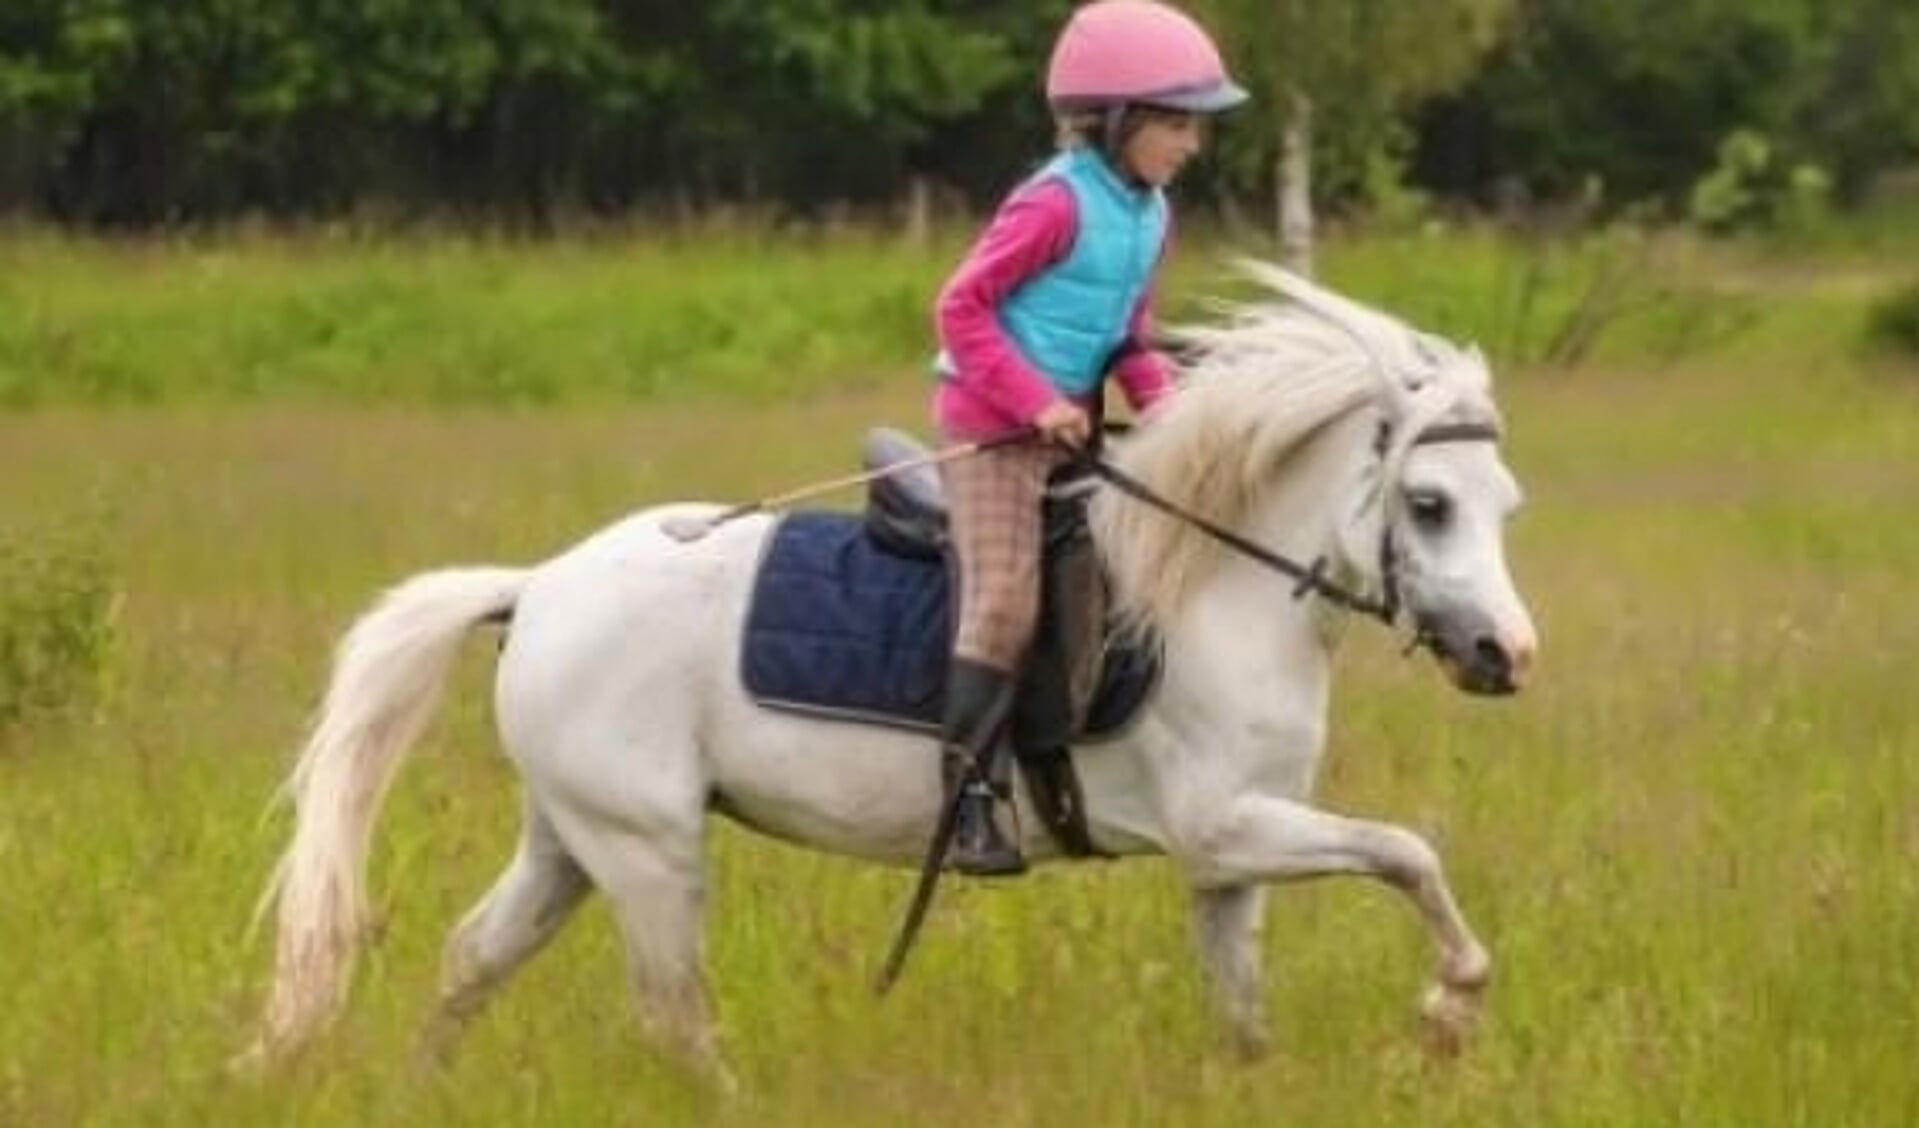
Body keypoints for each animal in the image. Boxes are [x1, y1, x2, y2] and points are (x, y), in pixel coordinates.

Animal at [251, 264, 1542, 1074]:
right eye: (1428, 504)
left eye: (1504, 505)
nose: (1505, 655)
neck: (1209, 591)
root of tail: (539, 586)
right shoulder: (1226, 824)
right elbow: (1408, 854)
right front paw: (1448, 1011)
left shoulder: (1226, 856)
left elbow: (1245, 1010)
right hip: (647, 850)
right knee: (673, 1015)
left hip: (572, 837)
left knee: (475, 957)